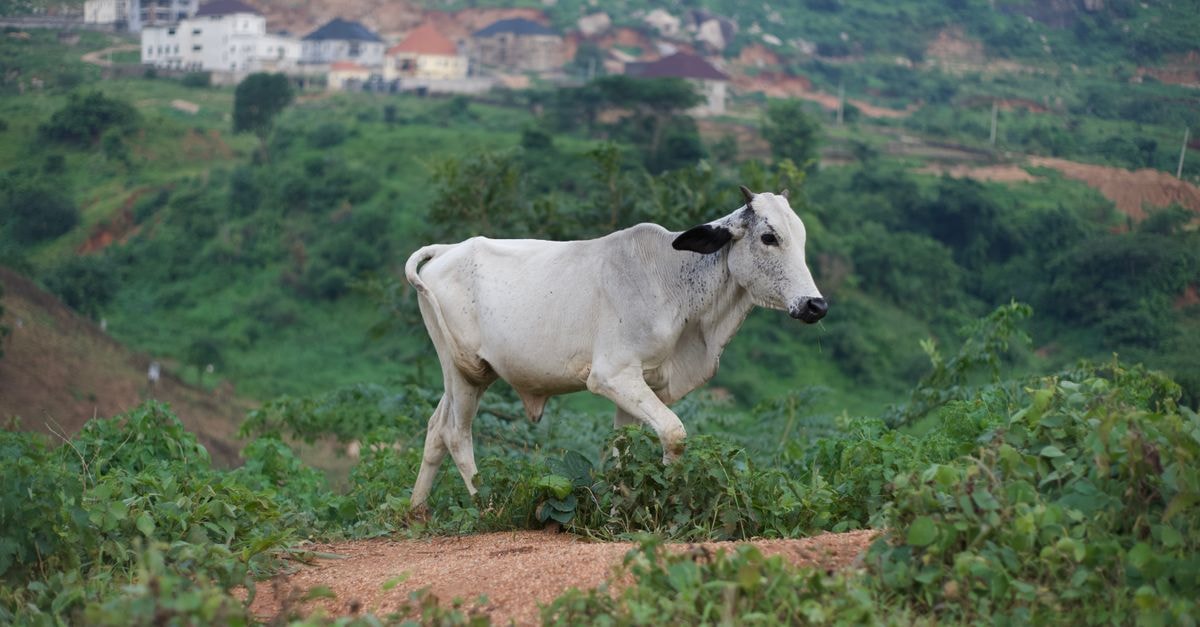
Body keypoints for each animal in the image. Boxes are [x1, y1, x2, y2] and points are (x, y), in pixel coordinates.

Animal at [403, 186, 827, 509]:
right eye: (769, 237)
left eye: (803, 240)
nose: (815, 305)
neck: (673, 282)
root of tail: (446, 250)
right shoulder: (613, 375)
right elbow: (673, 434)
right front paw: (665, 503)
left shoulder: (641, 382)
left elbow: (624, 449)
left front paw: (622, 506)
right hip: (462, 370)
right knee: (456, 433)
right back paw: (486, 505)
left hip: (469, 375)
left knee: (436, 428)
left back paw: (416, 511)